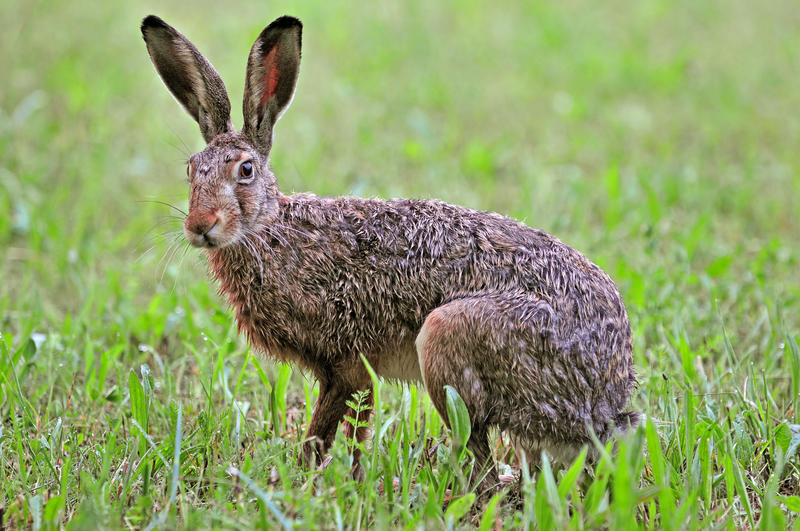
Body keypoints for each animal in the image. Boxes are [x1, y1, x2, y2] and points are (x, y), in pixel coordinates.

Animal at [141, 14, 639, 489]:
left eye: (245, 170)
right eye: (191, 171)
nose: (200, 226)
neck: (270, 230)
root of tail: (604, 404)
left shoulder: (345, 362)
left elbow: (326, 430)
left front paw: (308, 481)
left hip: (447, 336)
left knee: (481, 463)